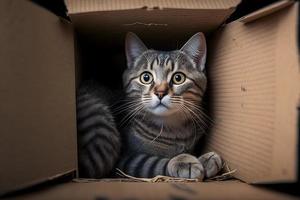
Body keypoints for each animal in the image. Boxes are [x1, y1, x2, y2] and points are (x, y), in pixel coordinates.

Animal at [77, 31, 223, 180]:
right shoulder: (127, 161)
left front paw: (206, 159)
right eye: (146, 77)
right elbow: (154, 162)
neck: (173, 128)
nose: (160, 92)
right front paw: (183, 161)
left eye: (178, 78)